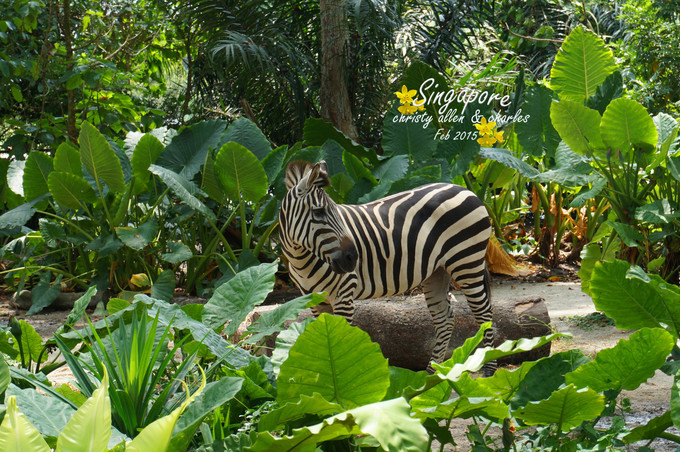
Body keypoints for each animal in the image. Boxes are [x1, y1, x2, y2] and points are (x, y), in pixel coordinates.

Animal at [276, 161, 494, 372]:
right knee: (445, 320)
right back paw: (431, 376)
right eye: (319, 212)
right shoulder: (315, 300)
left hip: (467, 262)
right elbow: (324, 337)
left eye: (336, 211)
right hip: (437, 272)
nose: (353, 258)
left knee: (484, 314)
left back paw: (489, 371)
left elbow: (340, 342)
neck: (300, 259)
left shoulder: (344, 293)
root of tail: (464, 189)